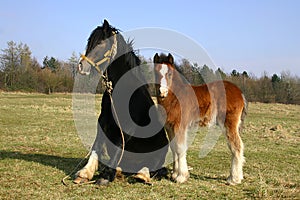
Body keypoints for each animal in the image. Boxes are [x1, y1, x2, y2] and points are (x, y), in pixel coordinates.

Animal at [75, 19, 169, 184]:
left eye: (100, 43)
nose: (81, 66)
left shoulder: (127, 125)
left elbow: (119, 143)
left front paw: (105, 176)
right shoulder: (103, 120)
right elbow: (96, 144)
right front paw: (86, 172)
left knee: (156, 167)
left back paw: (142, 174)